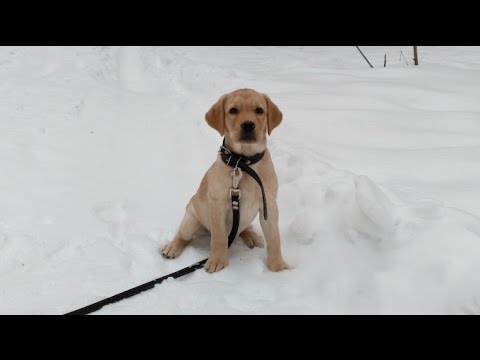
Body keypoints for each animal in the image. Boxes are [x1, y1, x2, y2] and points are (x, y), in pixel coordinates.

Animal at [161, 88, 288, 272]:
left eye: (259, 110)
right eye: (233, 110)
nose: (248, 125)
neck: (243, 162)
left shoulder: (269, 205)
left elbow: (274, 237)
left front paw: (277, 265)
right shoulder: (218, 204)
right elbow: (219, 237)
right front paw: (217, 261)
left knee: (242, 229)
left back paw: (251, 235)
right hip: (190, 220)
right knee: (183, 235)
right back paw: (172, 247)